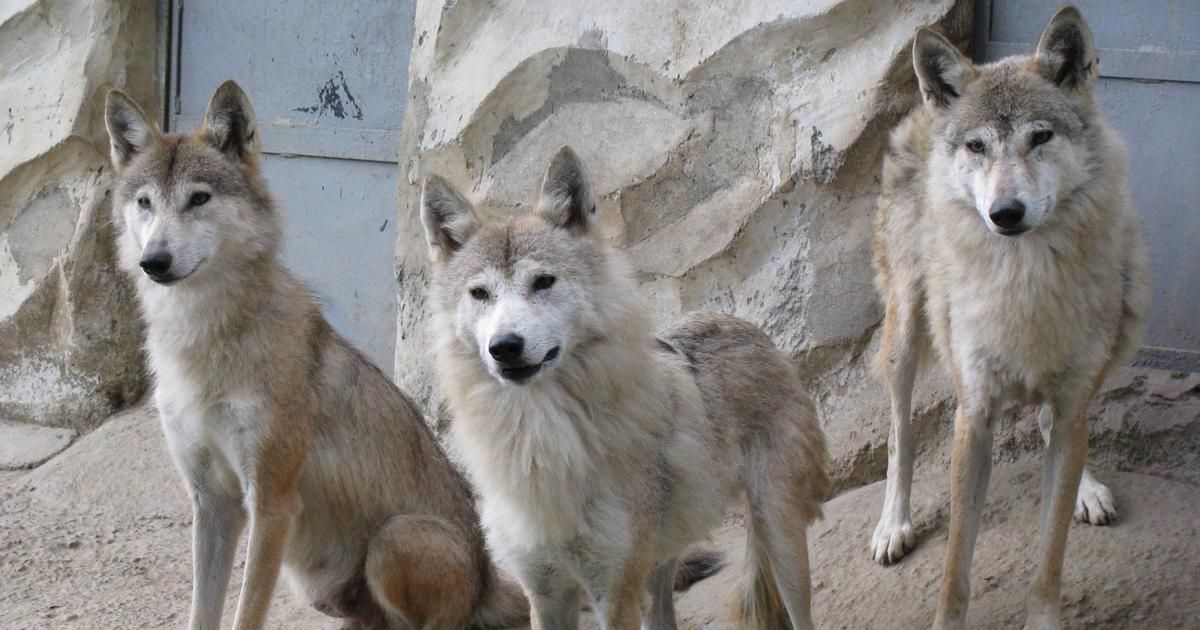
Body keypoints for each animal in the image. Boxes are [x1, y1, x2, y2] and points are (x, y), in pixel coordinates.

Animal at [103, 81, 531, 630]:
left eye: (198, 199)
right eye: (145, 203)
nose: (153, 261)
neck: (201, 340)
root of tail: (487, 581)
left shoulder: (272, 503)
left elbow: (246, 614)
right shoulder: (212, 502)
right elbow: (203, 612)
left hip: (395, 539)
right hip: (324, 590)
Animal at [420, 146, 831, 629]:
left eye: (543, 282)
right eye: (480, 294)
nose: (504, 347)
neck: (539, 437)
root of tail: (742, 324)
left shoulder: (613, 593)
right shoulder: (543, 593)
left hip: (778, 534)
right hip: (661, 562)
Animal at [869, 6, 1149, 629]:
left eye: (1040, 137)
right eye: (977, 146)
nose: (1005, 213)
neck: (1023, 281)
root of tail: (925, 109)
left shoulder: (1071, 402)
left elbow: (1050, 553)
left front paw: (1044, 617)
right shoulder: (973, 415)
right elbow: (955, 562)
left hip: (1125, 320)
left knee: (1059, 425)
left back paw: (1088, 489)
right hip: (904, 337)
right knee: (900, 436)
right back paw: (892, 525)